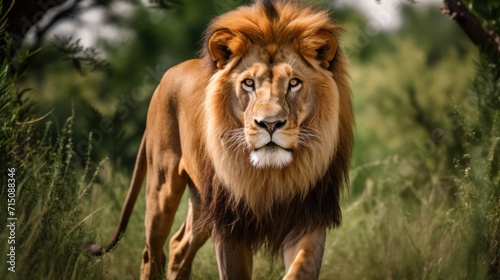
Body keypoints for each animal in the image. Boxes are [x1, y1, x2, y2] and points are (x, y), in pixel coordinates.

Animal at [90, 1, 354, 278]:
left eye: (294, 83)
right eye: (248, 83)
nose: (270, 124)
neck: (270, 176)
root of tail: (166, 76)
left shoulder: (309, 216)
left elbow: (301, 269)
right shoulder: (228, 224)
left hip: (202, 204)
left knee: (178, 246)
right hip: (163, 189)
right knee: (151, 252)